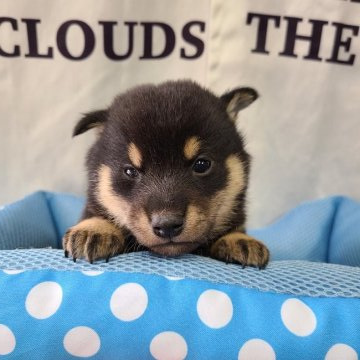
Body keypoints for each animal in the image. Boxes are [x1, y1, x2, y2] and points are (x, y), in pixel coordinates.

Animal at [62, 80, 270, 268]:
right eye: (129, 171)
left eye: (202, 164)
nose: (167, 225)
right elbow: (98, 214)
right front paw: (94, 231)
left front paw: (239, 239)